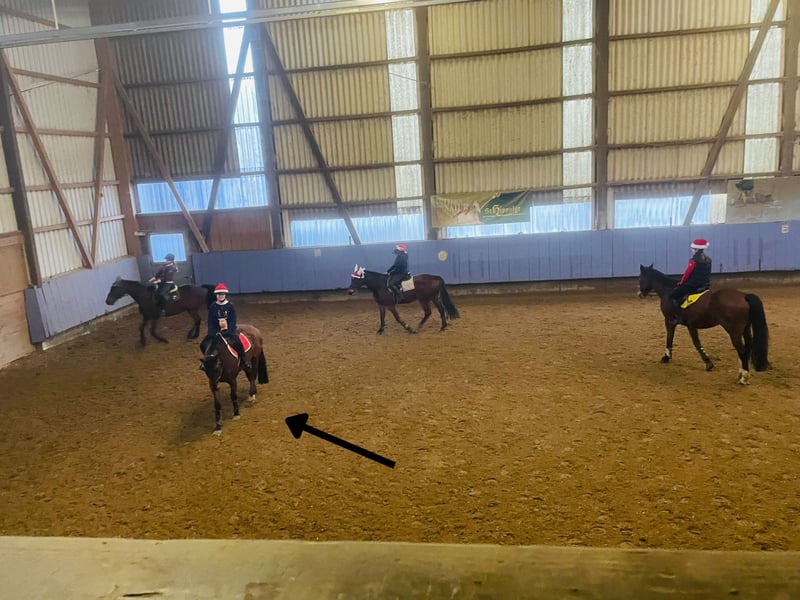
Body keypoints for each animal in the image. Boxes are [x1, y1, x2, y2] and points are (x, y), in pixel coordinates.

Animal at [638, 264, 770, 385]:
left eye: (640, 278)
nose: (640, 294)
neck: (668, 291)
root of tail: (744, 296)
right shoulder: (690, 325)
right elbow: (692, 342)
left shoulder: (671, 321)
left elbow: (674, 339)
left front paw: (667, 357)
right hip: (745, 329)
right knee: (747, 348)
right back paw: (741, 374)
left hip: (734, 332)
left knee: (742, 351)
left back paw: (743, 378)